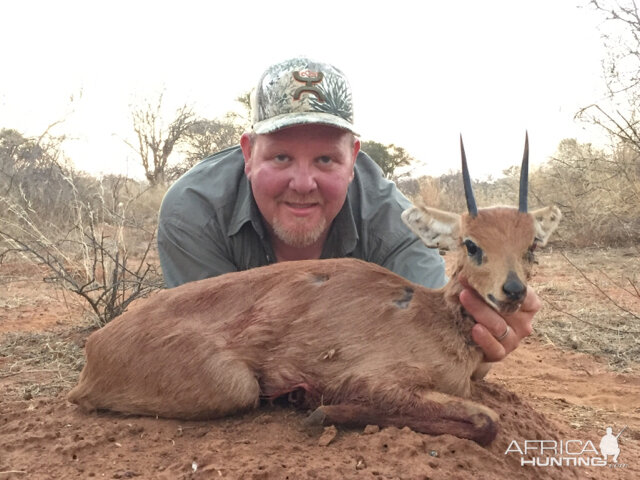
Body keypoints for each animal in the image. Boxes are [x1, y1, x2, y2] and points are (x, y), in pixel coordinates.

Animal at [69, 134, 560, 446]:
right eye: (472, 245)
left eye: (531, 246)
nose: (512, 291)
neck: (433, 317)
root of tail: (97, 343)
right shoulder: (378, 381)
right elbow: (488, 420)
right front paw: (317, 408)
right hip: (233, 387)